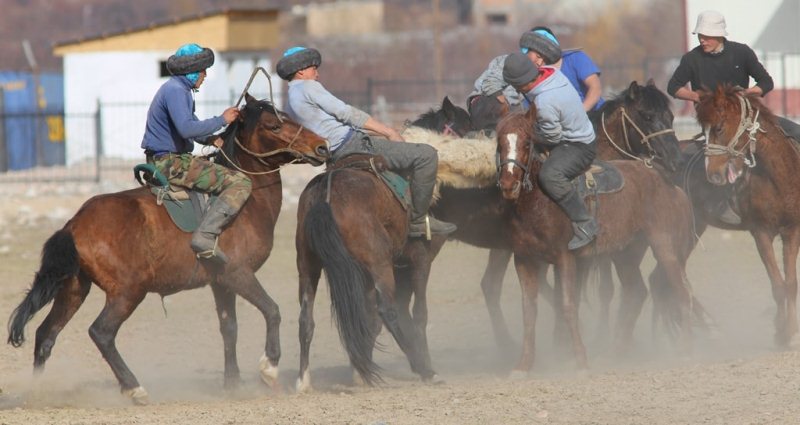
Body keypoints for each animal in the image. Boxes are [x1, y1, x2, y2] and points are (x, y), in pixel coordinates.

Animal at [6, 94, 328, 402]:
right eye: (273, 125)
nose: (322, 147)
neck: (247, 204)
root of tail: (74, 224)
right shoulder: (238, 274)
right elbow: (272, 310)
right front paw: (269, 368)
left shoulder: (221, 283)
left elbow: (229, 328)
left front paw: (233, 385)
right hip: (127, 293)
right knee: (101, 333)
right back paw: (134, 388)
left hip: (73, 288)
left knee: (46, 334)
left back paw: (38, 393)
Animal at [496, 105, 696, 372]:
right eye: (499, 142)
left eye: (527, 142)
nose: (508, 184)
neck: (539, 201)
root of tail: (668, 183)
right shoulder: (524, 260)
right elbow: (529, 312)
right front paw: (523, 366)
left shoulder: (566, 258)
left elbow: (568, 305)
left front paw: (580, 361)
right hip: (626, 253)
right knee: (636, 292)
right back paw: (614, 353)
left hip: (664, 246)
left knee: (682, 291)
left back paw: (685, 350)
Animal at [692, 85, 800, 344]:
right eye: (703, 131)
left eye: (719, 128)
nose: (713, 174)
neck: (778, 176)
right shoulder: (760, 233)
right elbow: (777, 284)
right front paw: (781, 331)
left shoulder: (792, 231)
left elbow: (791, 283)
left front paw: (790, 329)